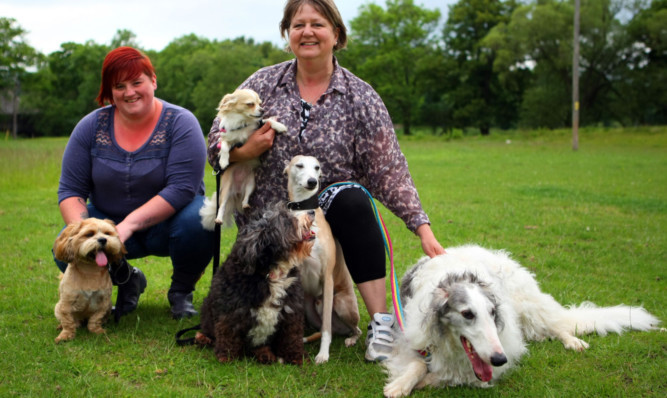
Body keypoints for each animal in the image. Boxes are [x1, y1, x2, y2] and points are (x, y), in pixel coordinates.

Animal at [201, 88, 290, 229]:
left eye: (260, 103)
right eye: (250, 104)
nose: (263, 110)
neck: (243, 123)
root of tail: (237, 190)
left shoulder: (258, 125)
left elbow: (267, 121)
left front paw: (279, 126)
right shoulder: (226, 138)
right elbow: (224, 147)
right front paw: (223, 161)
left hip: (251, 183)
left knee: (246, 196)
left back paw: (245, 204)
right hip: (226, 190)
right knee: (222, 206)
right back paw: (219, 219)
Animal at [284, 155, 362, 364]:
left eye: (317, 167)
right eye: (299, 165)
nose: (312, 182)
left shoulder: (327, 277)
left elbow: (326, 330)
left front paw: (323, 354)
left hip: (341, 303)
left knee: (352, 329)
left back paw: (351, 339)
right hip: (309, 307)